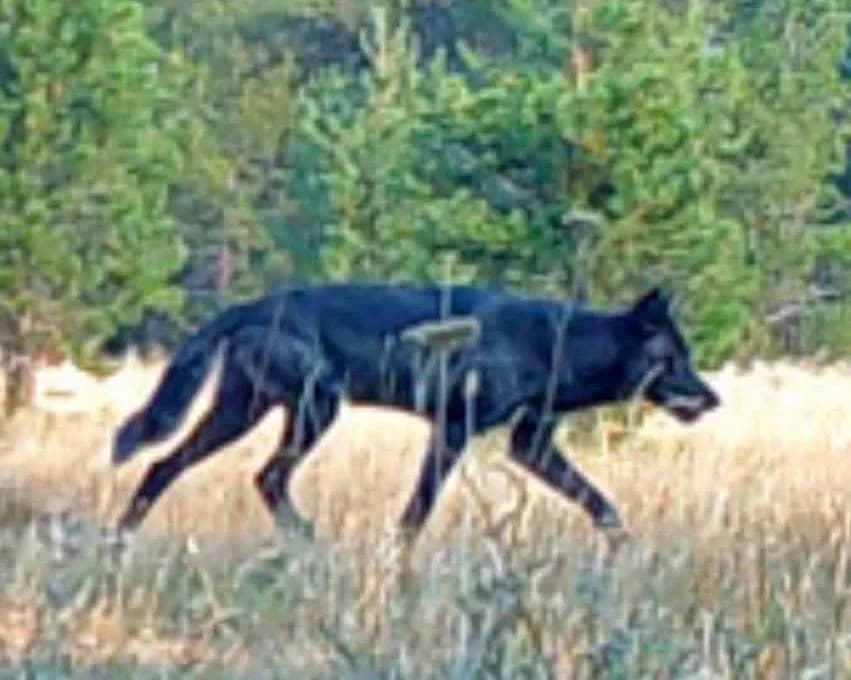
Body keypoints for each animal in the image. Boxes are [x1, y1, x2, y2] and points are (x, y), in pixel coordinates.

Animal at [112, 284, 719, 539]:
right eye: (675, 360)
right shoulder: (452, 432)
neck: (557, 343)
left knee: (166, 467)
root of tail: (251, 304)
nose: (715, 398)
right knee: (261, 476)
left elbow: (603, 505)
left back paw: (121, 544)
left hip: (248, 414)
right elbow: (415, 514)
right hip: (311, 413)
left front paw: (623, 552)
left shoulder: (531, 445)